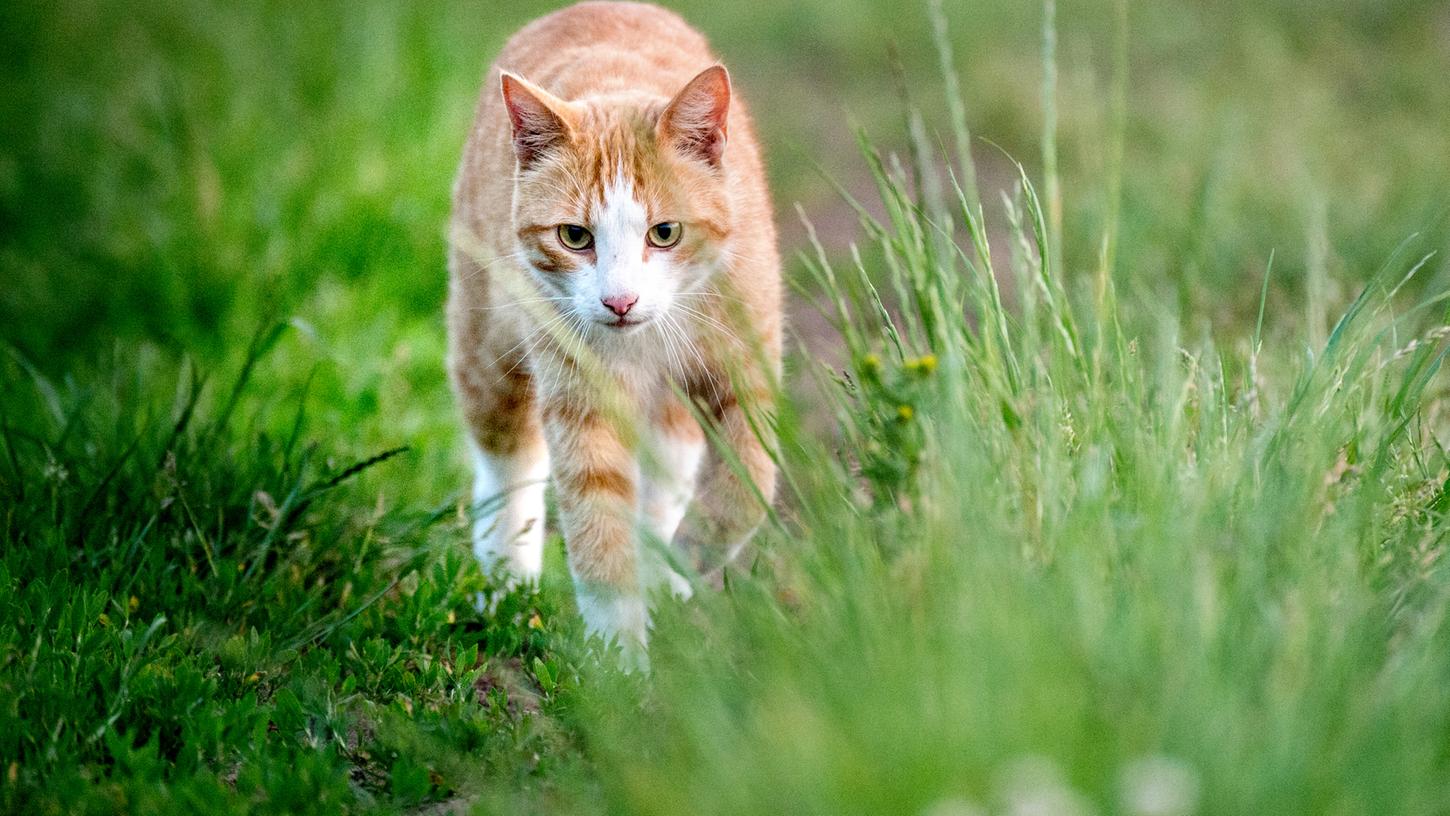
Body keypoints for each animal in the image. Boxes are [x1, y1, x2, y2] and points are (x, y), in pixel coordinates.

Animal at [446, 1, 783, 669]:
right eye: (575, 237)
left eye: (665, 233)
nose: (619, 301)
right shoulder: (582, 397)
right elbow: (597, 522)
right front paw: (618, 659)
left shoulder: (746, 365)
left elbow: (747, 483)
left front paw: (688, 561)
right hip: (486, 342)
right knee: (506, 461)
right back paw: (507, 577)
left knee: (667, 477)